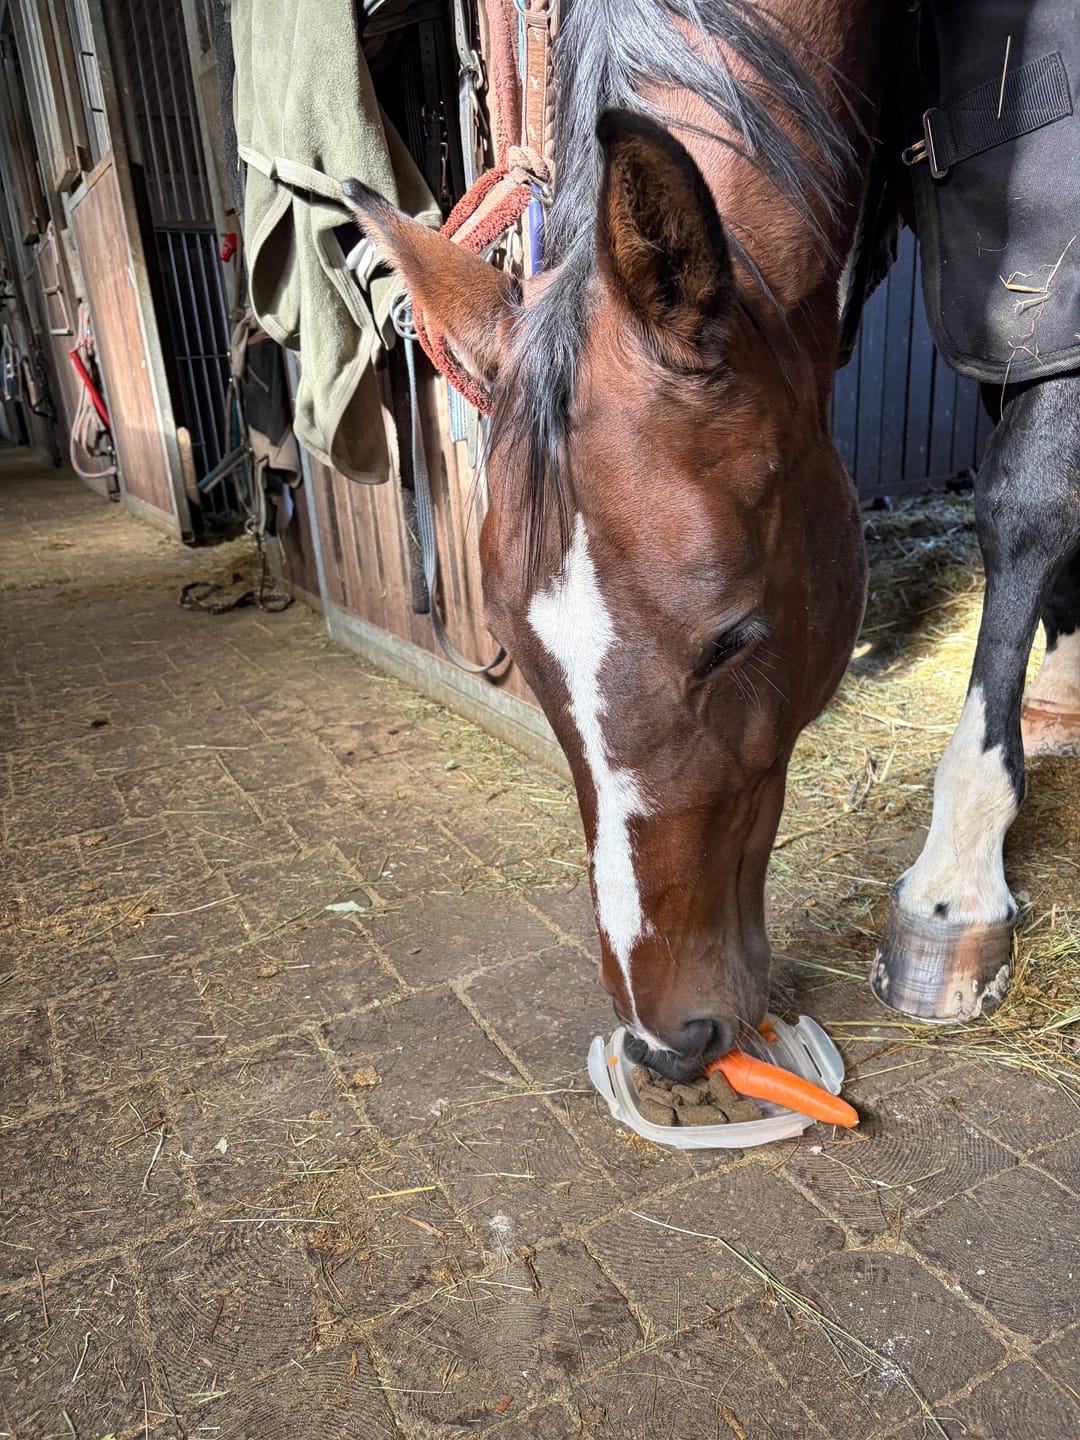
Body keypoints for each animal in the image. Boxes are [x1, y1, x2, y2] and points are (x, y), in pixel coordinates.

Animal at [342, 0, 1080, 1080]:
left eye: (732, 642)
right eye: (515, 654)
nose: (667, 1039)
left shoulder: (1028, 243)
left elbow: (1029, 502)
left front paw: (957, 888)